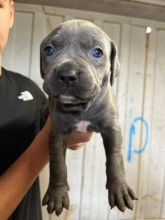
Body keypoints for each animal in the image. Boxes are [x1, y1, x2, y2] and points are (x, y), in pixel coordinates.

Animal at [40, 19, 137, 217]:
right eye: (49, 50)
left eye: (97, 52)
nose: (67, 74)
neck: (81, 107)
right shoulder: (57, 132)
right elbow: (58, 164)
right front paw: (57, 194)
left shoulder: (112, 128)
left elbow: (115, 158)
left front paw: (119, 188)